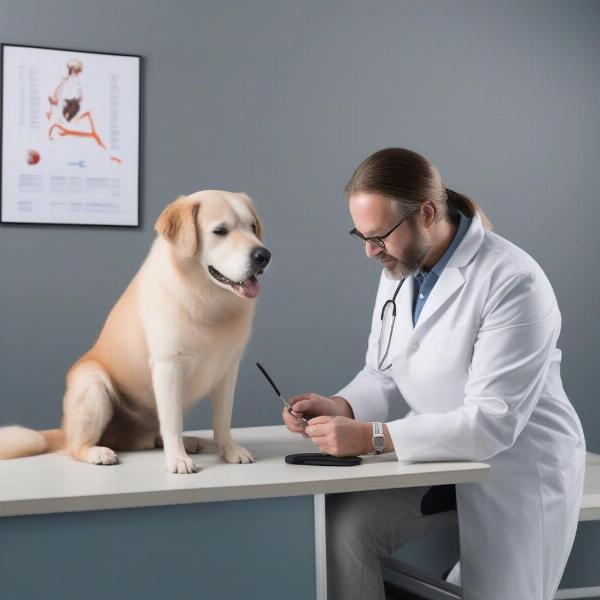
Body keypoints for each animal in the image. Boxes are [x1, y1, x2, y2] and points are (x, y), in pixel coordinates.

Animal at [0, 190, 270, 472]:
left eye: (252, 227)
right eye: (220, 231)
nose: (263, 255)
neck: (207, 300)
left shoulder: (228, 369)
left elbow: (223, 419)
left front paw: (229, 450)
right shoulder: (168, 366)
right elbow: (173, 421)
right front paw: (178, 459)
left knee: (157, 434)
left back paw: (188, 441)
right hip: (93, 385)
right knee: (77, 446)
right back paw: (98, 452)